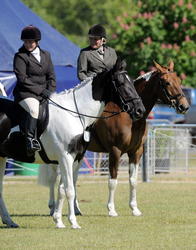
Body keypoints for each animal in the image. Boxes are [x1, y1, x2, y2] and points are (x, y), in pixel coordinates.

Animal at [0, 58, 145, 229]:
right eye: (121, 82)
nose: (140, 110)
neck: (75, 114)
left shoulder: (74, 159)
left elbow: (63, 189)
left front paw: (59, 220)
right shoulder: (65, 158)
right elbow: (70, 190)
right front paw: (73, 222)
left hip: (2, 157)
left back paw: (9, 221)